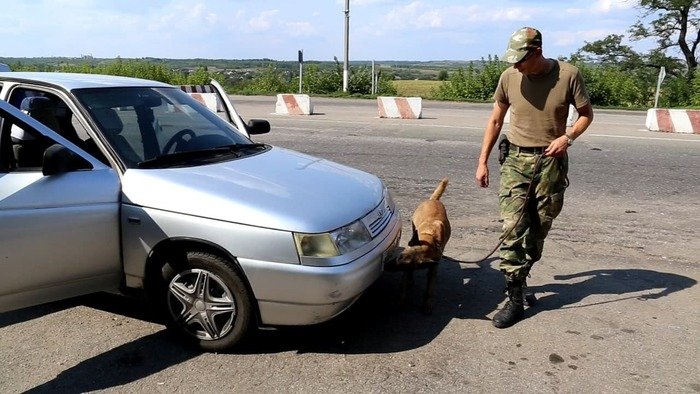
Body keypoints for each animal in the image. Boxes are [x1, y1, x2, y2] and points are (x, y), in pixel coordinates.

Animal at [386, 179, 452, 314]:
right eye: (399, 257)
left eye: (402, 264)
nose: (385, 266)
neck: (430, 238)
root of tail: (433, 200)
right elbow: (404, 285)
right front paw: (401, 301)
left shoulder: (433, 267)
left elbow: (430, 288)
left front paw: (427, 303)